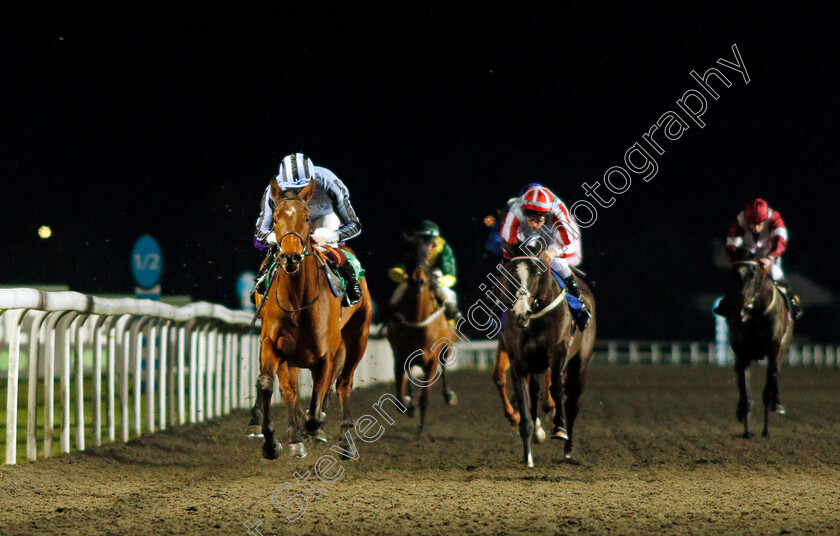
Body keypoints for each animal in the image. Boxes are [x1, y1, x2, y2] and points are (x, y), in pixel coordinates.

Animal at [254, 179, 372, 456]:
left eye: (307, 218)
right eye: (275, 218)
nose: (290, 256)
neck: (297, 303)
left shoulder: (326, 354)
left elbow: (318, 400)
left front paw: (314, 427)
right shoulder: (273, 345)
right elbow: (270, 384)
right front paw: (272, 441)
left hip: (358, 336)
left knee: (344, 382)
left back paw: (345, 437)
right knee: (294, 389)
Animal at [388, 232, 456, 434]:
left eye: (427, 255)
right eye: (409, 254)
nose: (418, 281)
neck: (418, 319)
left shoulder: (431, 361)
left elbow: (425, 398)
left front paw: (420, 431)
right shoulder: (401, 356)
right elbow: (400, 398)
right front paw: (408, 404)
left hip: (447, 348)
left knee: (444, 367)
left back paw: (448, 395)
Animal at [498, 243, 596, 464]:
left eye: (537, 272)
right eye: (511, 272)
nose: (521, 312)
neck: (535, 317)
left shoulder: (557, 352)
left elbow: (557, 388)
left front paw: (558, 428)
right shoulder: (519, 361)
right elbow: (524, 398)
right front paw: (527, 456)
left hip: (579, 363)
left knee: (572, 402)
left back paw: (567, 449)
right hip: (537, 363)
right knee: (535, 392)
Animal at [724, 256, 792, 440]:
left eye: (754, 276)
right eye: (735, 275)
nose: (741, 307)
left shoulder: (774, 348)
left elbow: (770, 382)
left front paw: (767, 427)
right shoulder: (741, 352)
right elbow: (744, 387)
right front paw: (747, 428)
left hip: (783, 347)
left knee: (775, 374)